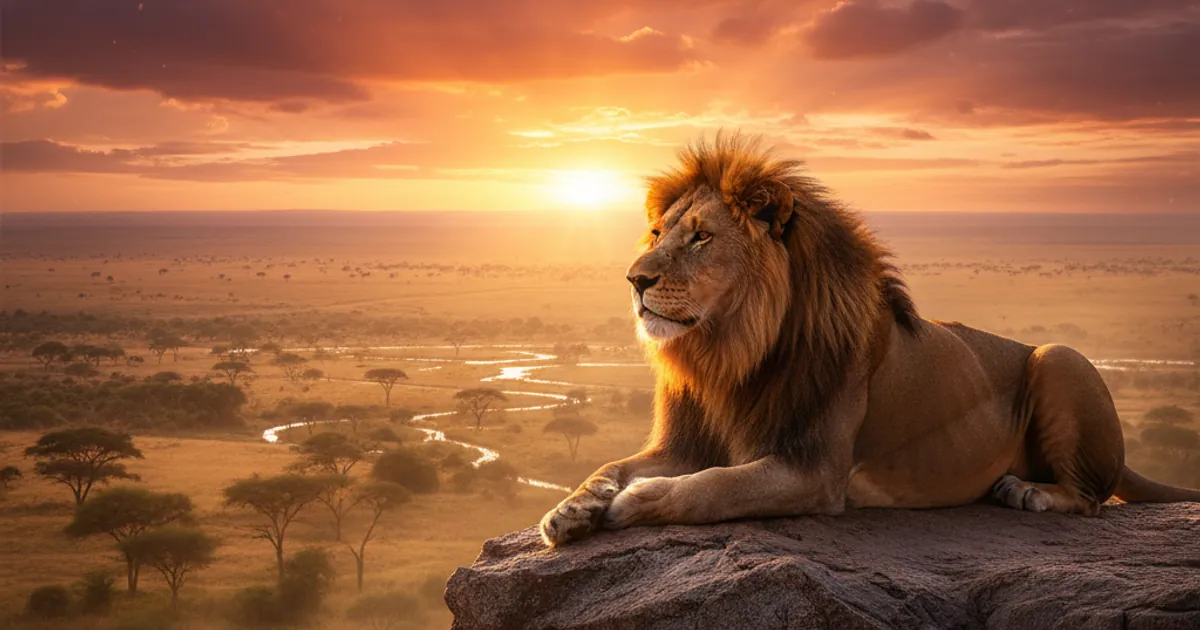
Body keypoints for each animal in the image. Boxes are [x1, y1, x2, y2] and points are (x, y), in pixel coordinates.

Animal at [539, 132, 1200, 547]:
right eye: (657, 232)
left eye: (701, 237)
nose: (634, 279)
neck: (730, 351)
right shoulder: (686, 441)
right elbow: (611, 464)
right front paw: (571, 509)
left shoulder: (813, 471)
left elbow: (711, 487)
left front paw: (634, 502)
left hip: (1060, 356)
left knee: (1091, 498)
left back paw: (1027, 493)